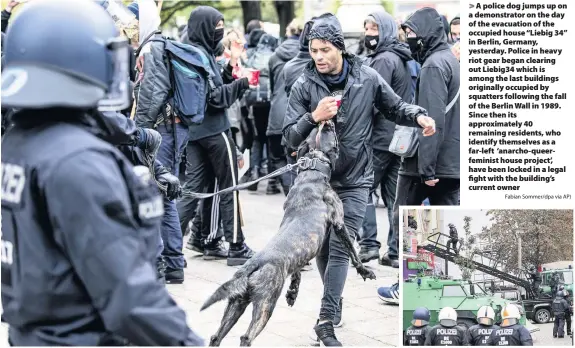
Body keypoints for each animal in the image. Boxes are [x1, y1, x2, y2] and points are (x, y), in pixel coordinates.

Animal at [201, 121, 378, 346]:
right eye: (330, 132)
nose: (327, 121)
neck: (312, 171)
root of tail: (250, 267)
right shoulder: (339, 222)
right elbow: (353, 254)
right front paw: (365, 271)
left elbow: (298, 271)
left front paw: (293, 293)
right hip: (266, 303)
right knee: (246, 337)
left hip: (236, 302)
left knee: (216, 336)